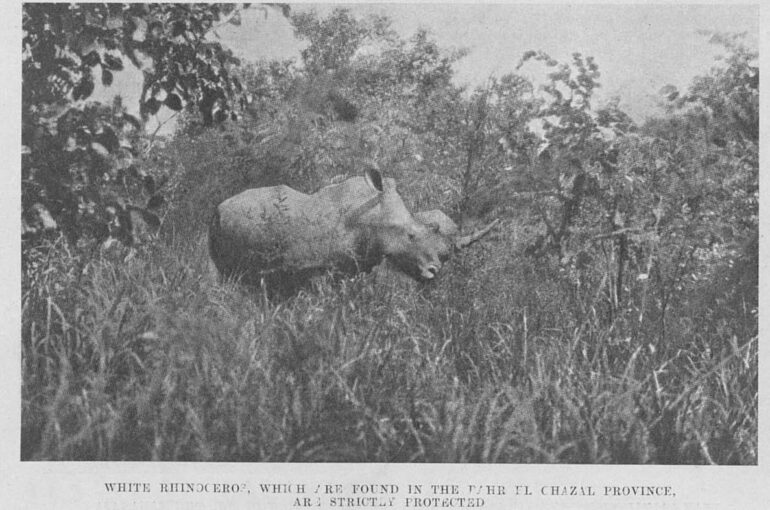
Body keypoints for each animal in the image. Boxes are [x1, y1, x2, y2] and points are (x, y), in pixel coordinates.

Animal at [208, 166, 497, 289]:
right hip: (224, 221)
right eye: (411, 235)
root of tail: (221, 205)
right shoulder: (313, 265)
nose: (434, 272)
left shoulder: (348, 265)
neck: (370, 217)